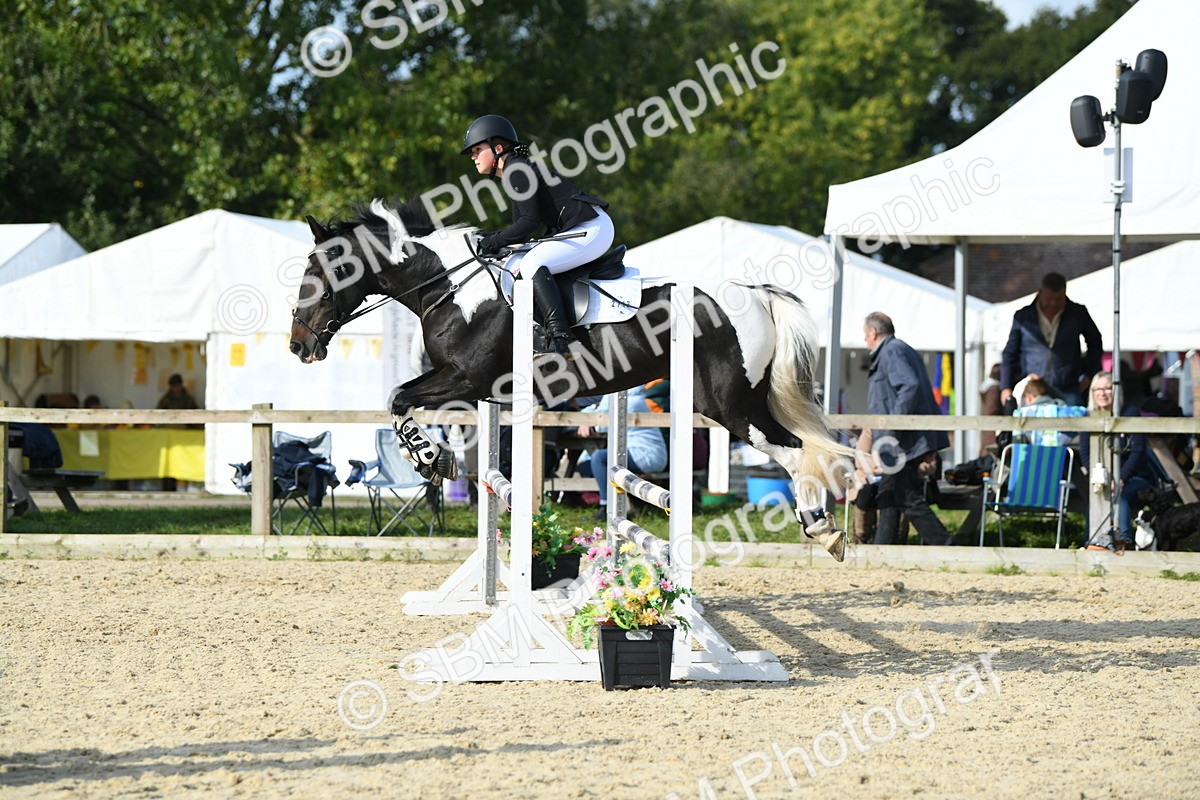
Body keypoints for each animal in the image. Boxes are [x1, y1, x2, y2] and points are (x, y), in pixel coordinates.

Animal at [290, 198, 854, 560]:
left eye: (322, 272)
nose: (298, 345)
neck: (451, 287)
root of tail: (754, 293)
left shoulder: (467, 380)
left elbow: (399, 399)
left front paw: (432, 460)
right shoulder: (471, 388)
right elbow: (403, 402)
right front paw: (433, 459)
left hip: (727, 404)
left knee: (794, 451)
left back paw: (821, 527)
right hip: (748, 398)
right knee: (802, 445)